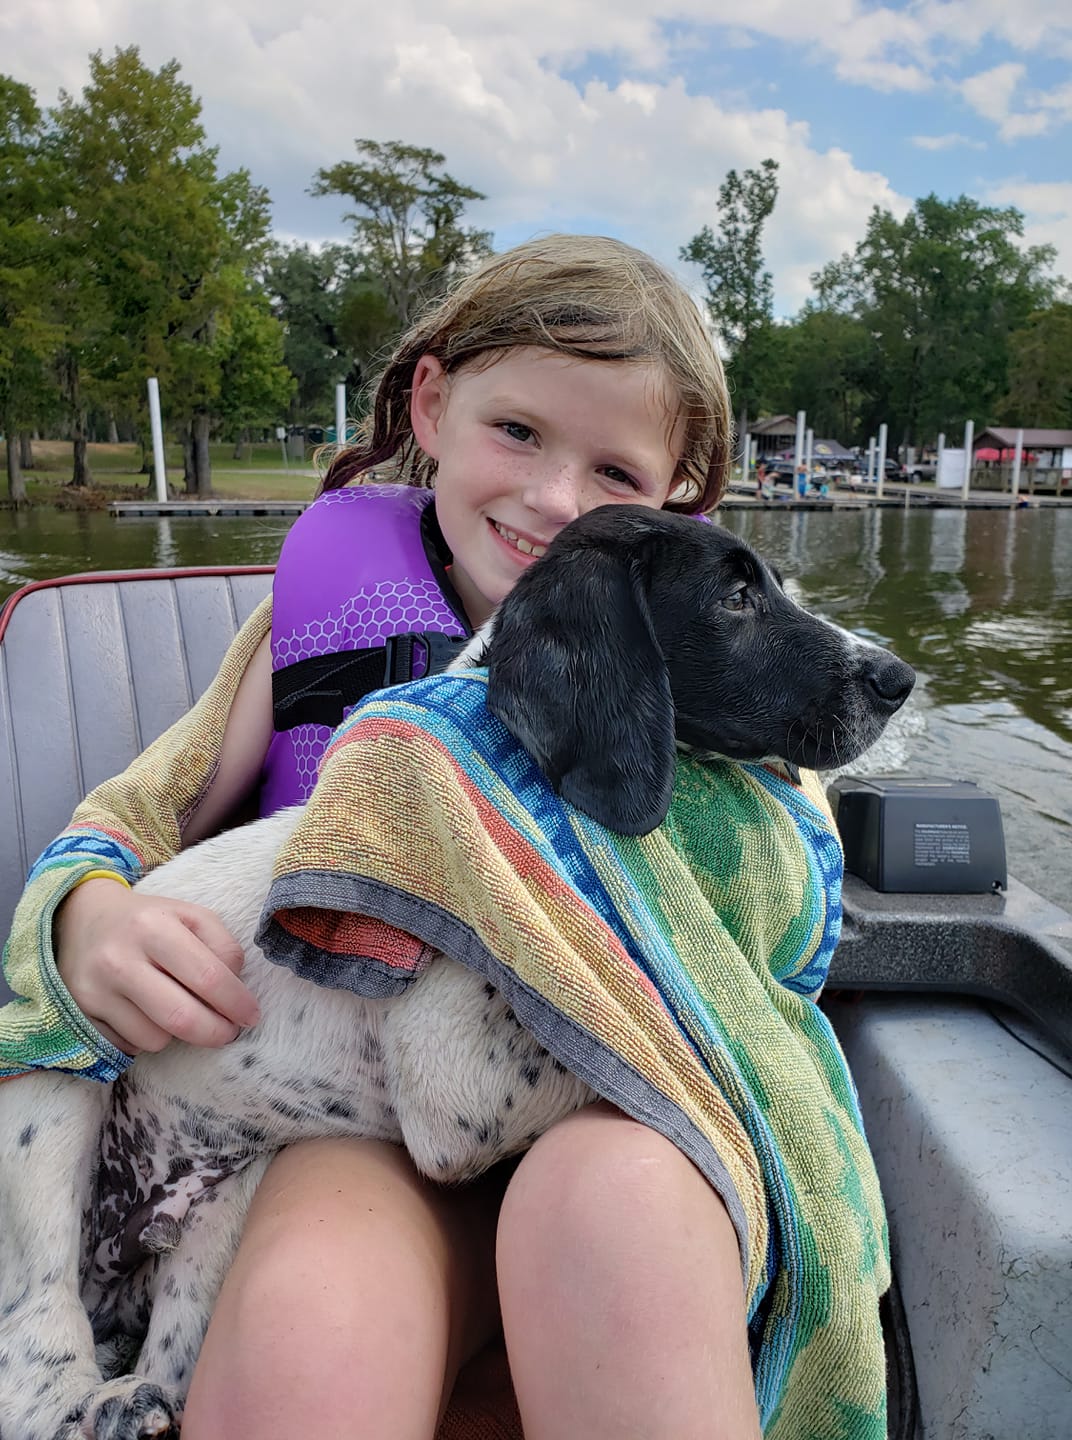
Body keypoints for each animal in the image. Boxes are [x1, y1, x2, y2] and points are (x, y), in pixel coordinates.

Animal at [0, 501, 910, 1434]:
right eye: (735, 598)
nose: (899, 678)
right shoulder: (456, 1086)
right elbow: (648, 1054)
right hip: (50, 1102)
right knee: (32, 1339)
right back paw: (81, 1401)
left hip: (220, 1211)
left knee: (170, 1355)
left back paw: (135, 1401)